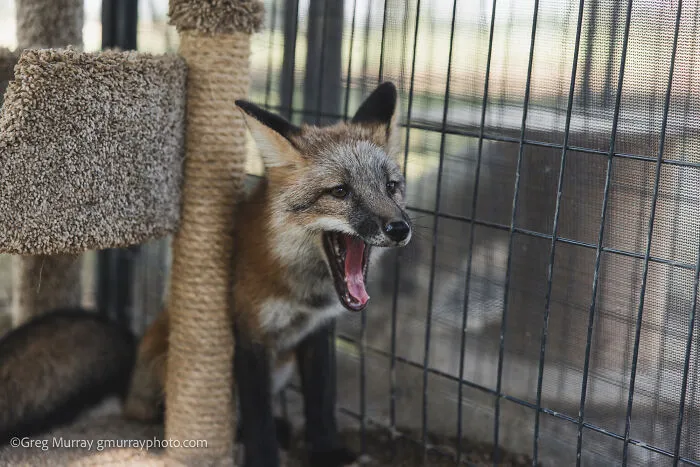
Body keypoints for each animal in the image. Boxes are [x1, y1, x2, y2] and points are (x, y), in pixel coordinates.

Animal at [123, 81, 413, 467]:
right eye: (340, 191)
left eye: (391, 186)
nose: (399, 228)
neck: (302, 293)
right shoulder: (249, 334)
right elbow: (257, 414)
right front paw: (263, 455)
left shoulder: (318, 331)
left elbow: (321, 402)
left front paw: (327, 452)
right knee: (163, 412)